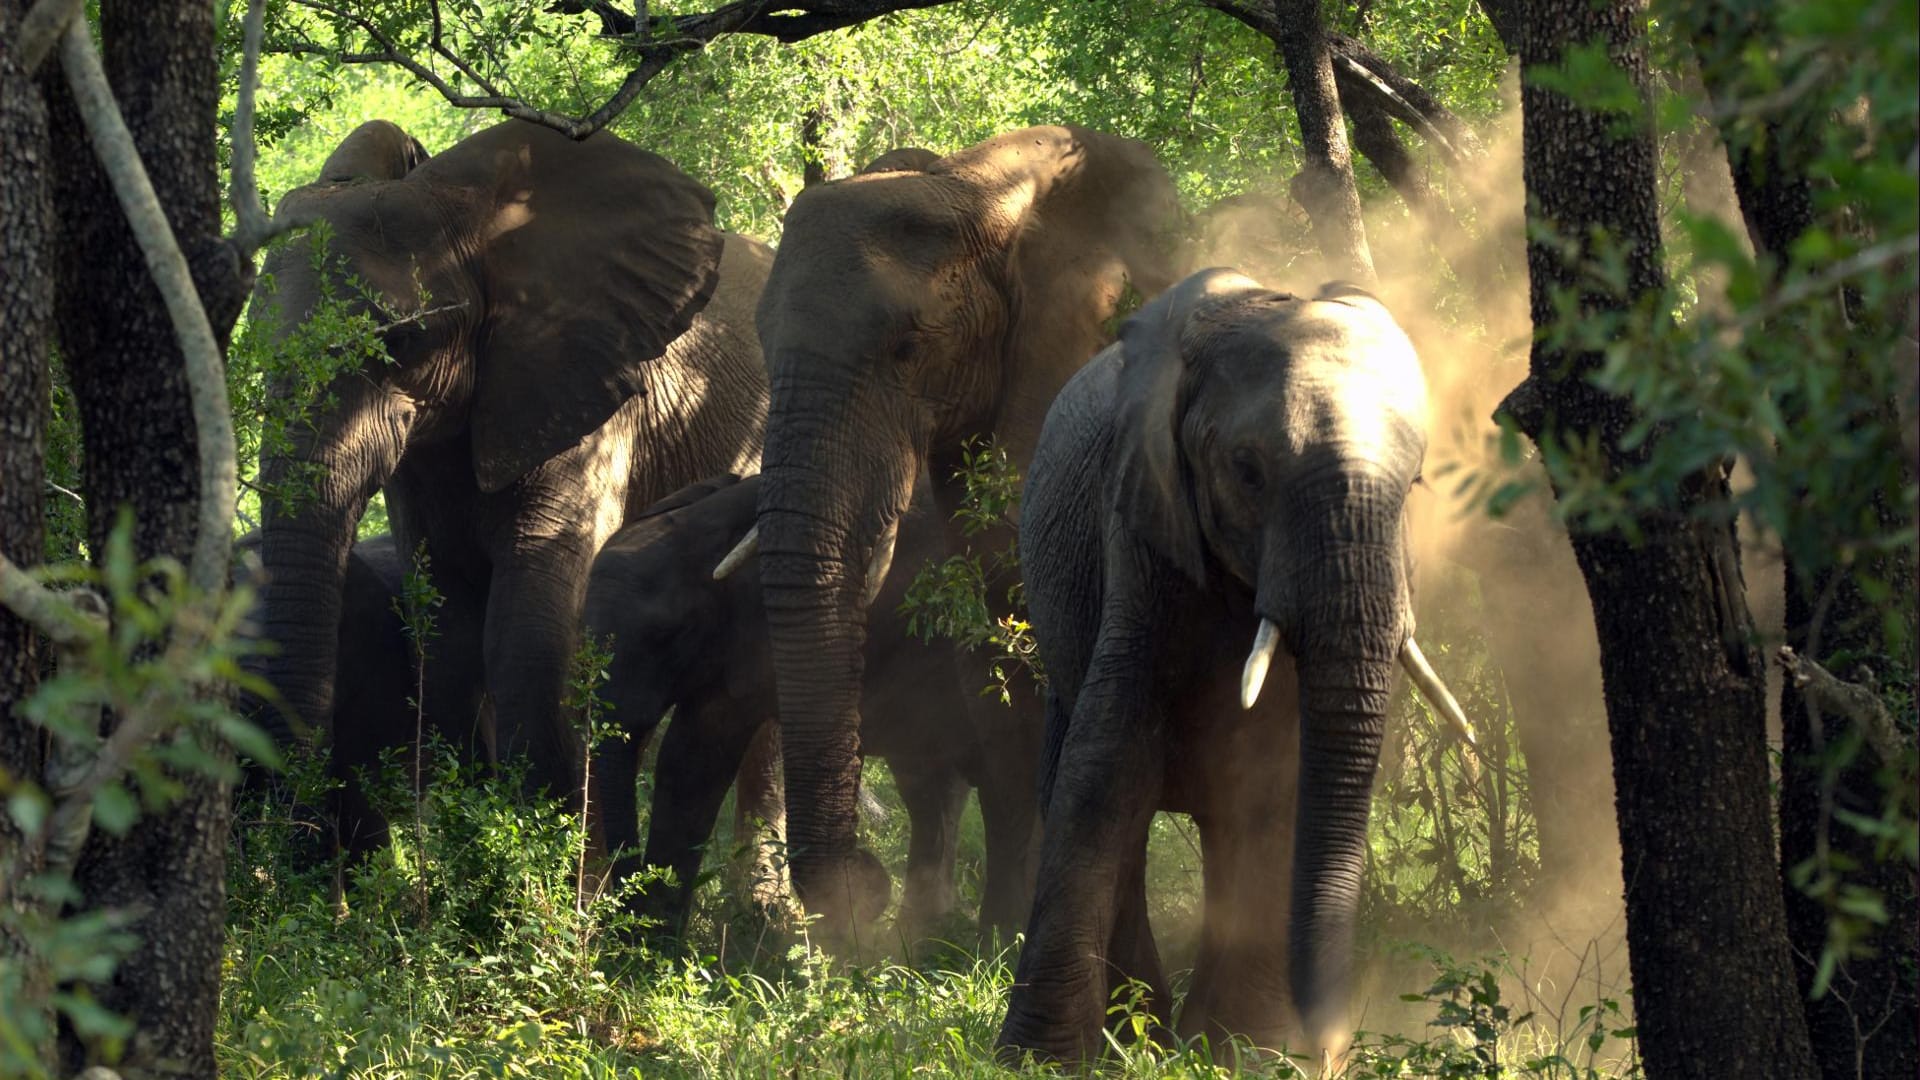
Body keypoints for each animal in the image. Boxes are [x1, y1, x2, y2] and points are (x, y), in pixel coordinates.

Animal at [990, 269, 1466, 1060]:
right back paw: (1144, 1029)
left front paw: (1250, 1052)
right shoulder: (1139, 525)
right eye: (1247, 471)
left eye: (1417, 484)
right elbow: (1109, 762)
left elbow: (1277, 777)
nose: (1331, 1048)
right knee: (1076, 777)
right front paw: (1040, 1060)